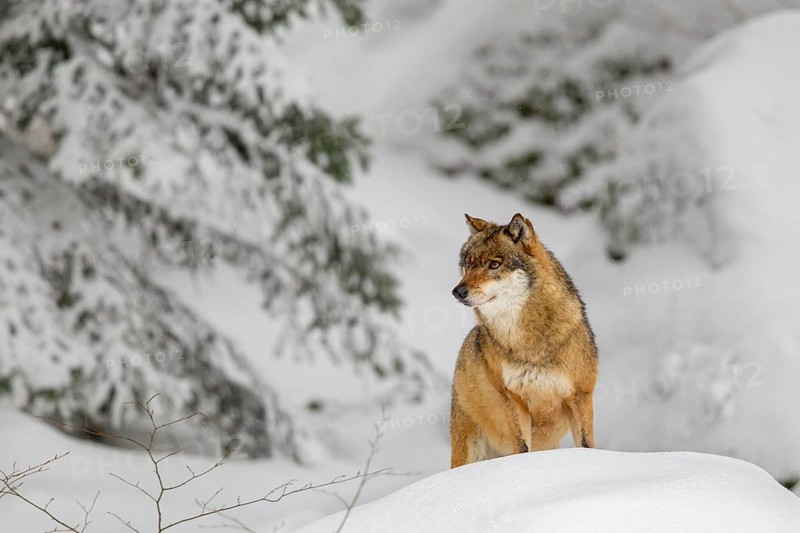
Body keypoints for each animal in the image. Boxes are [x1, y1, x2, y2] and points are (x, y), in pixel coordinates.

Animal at [449, 213, 598, 468]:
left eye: (494, 264)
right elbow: (521, 448)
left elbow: (587, 445)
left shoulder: (580, 396)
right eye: (468, 265)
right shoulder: (514, 400)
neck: (529, 342)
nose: (458, 291)